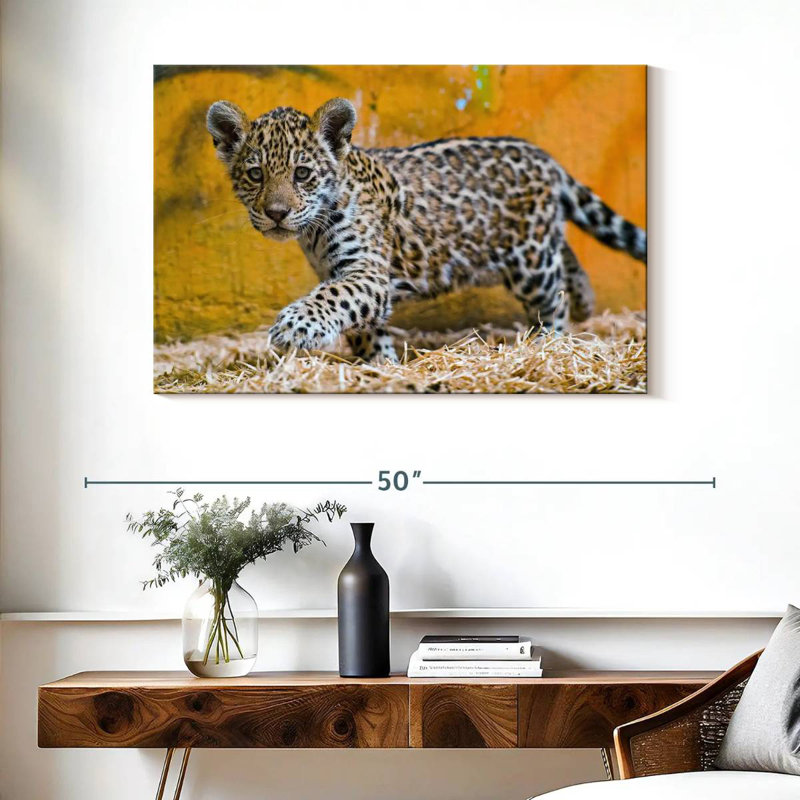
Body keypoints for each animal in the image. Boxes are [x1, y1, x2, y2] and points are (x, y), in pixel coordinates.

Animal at [206, 97, 646, 363]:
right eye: (255, 175)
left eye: (302, 174)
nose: (276, 213)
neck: (314, 230)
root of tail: (544, 157)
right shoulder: (345, 273)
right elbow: (362, 322)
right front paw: (379, 365)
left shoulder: (365, 270)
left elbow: (335, 297)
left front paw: (294, 327)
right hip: (541, 243)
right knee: (567, 255)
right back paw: (585, 301)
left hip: (531, 262)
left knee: (552, 299)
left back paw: (549, 345)